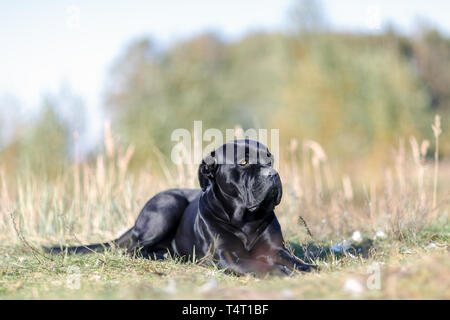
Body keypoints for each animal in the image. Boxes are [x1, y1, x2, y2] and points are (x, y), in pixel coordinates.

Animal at [46, 141, 312, 278]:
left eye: (270, 159)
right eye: (244, 162)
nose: (273, 173)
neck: (245, 219)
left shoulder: (275, 248)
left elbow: (293, 259)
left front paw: (308, 268)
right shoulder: (224, 255)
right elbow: (255, 265)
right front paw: (279, 271)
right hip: (168, 206)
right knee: (133, 249)